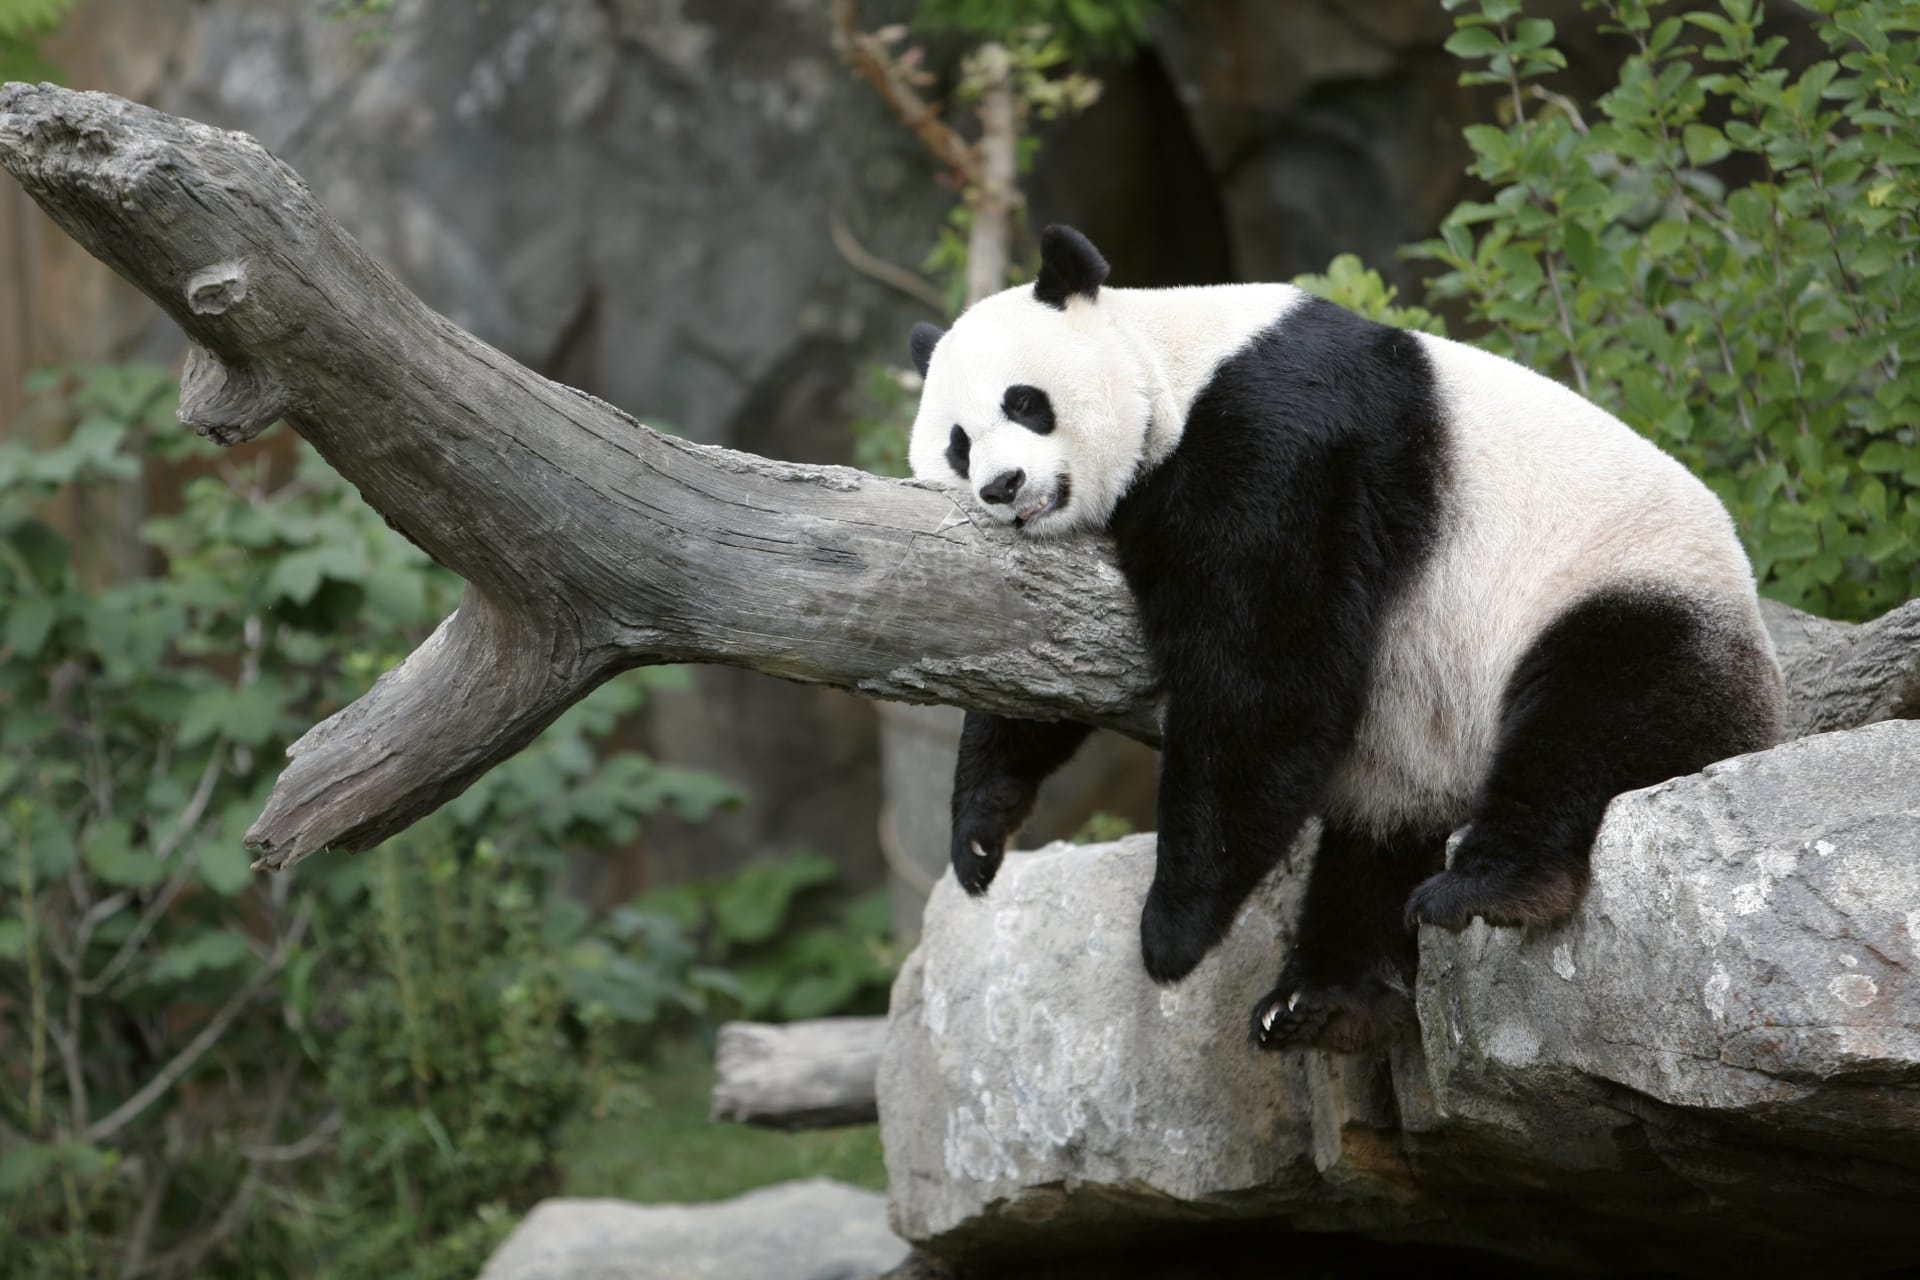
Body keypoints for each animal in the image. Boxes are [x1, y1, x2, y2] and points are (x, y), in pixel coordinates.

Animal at [906, 224, 1785, 1052]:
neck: (1173, 362)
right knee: (1379, 842)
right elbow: (1037, 659)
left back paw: (1489, 887)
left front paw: (1171, 931)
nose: (1003, 487)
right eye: (957, 443)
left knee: (1594, 716)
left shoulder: (1279, 437)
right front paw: (980, 835)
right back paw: (1324, 999)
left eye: (1025, 402)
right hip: (1419, 747)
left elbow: (1264, 671)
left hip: (1625, 591)